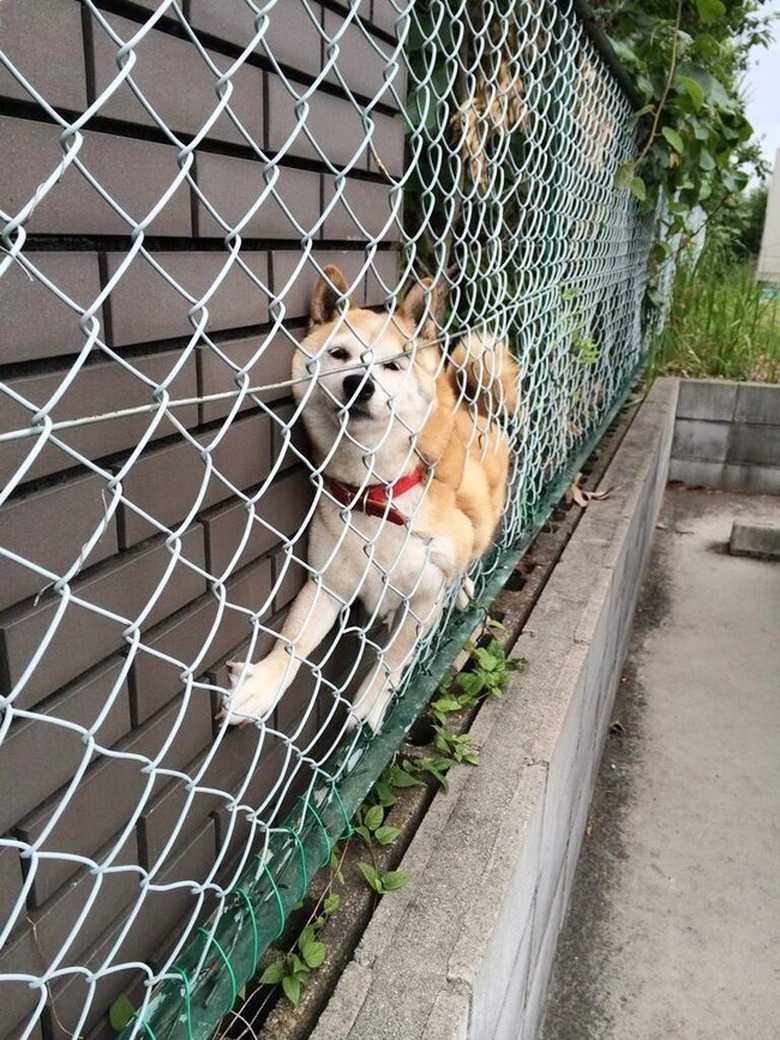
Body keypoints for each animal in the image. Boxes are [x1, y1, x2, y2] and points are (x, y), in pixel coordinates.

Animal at [222, 264, 522, 728]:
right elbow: (292, 642)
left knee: (467, 560)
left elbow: (393, 656)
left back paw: (463, 589)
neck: (375, 494)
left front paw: (371, 701)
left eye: (392, 365)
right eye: (339, 354)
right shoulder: (328, 582)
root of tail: (475, 407)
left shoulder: (425, 593)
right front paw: (261, 688)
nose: (359, 384)